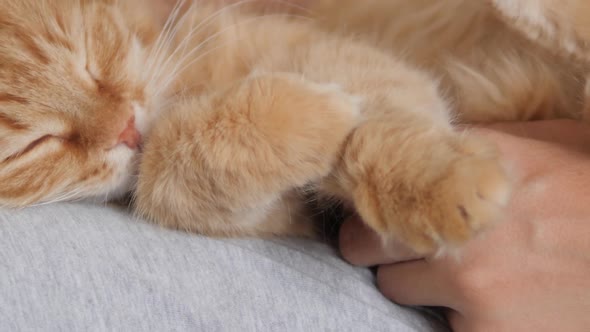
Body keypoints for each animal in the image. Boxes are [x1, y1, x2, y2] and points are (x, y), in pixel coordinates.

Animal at [1, 0, 588, 254]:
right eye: (36, 145)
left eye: (89, 61)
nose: (125, 129)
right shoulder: (293, 213)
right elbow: (176, 167)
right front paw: (316, 116)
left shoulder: (332, 52)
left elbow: (382, 131)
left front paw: (441, 187)